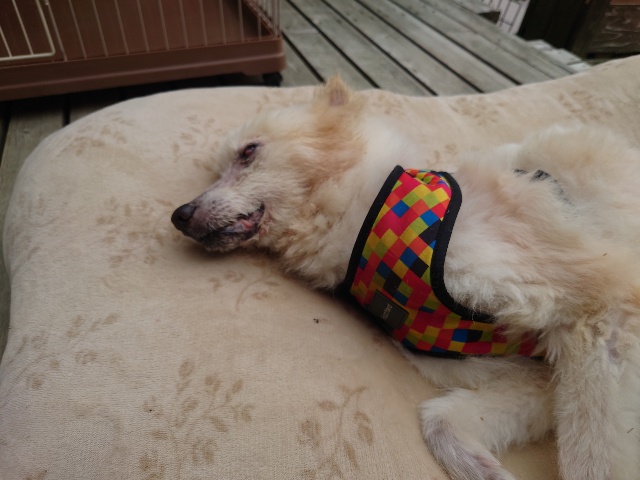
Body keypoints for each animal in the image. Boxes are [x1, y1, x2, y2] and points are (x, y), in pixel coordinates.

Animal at [171, 77, 640, 480]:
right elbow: (440, 420)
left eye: (248, 152)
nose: (180, 215)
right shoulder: (528, 374)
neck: (364, 217)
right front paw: (485, 469)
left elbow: (591, 454)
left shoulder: (605, 307)